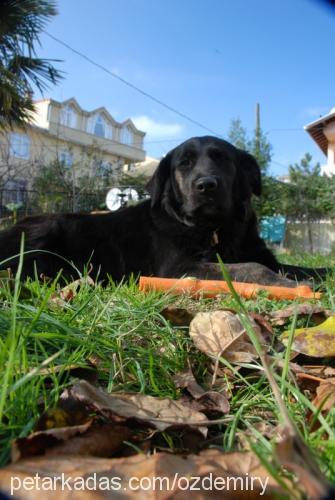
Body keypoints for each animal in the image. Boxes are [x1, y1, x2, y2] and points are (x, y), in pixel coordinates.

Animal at [0, 137, 328, 286]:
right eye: (184, 163)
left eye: (223, 159)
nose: (206, 185)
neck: (213, 229)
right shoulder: (180, 269)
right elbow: (252, 268)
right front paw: (288, 284)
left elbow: (296, 267)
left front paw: (317, 275)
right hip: (44, 229)